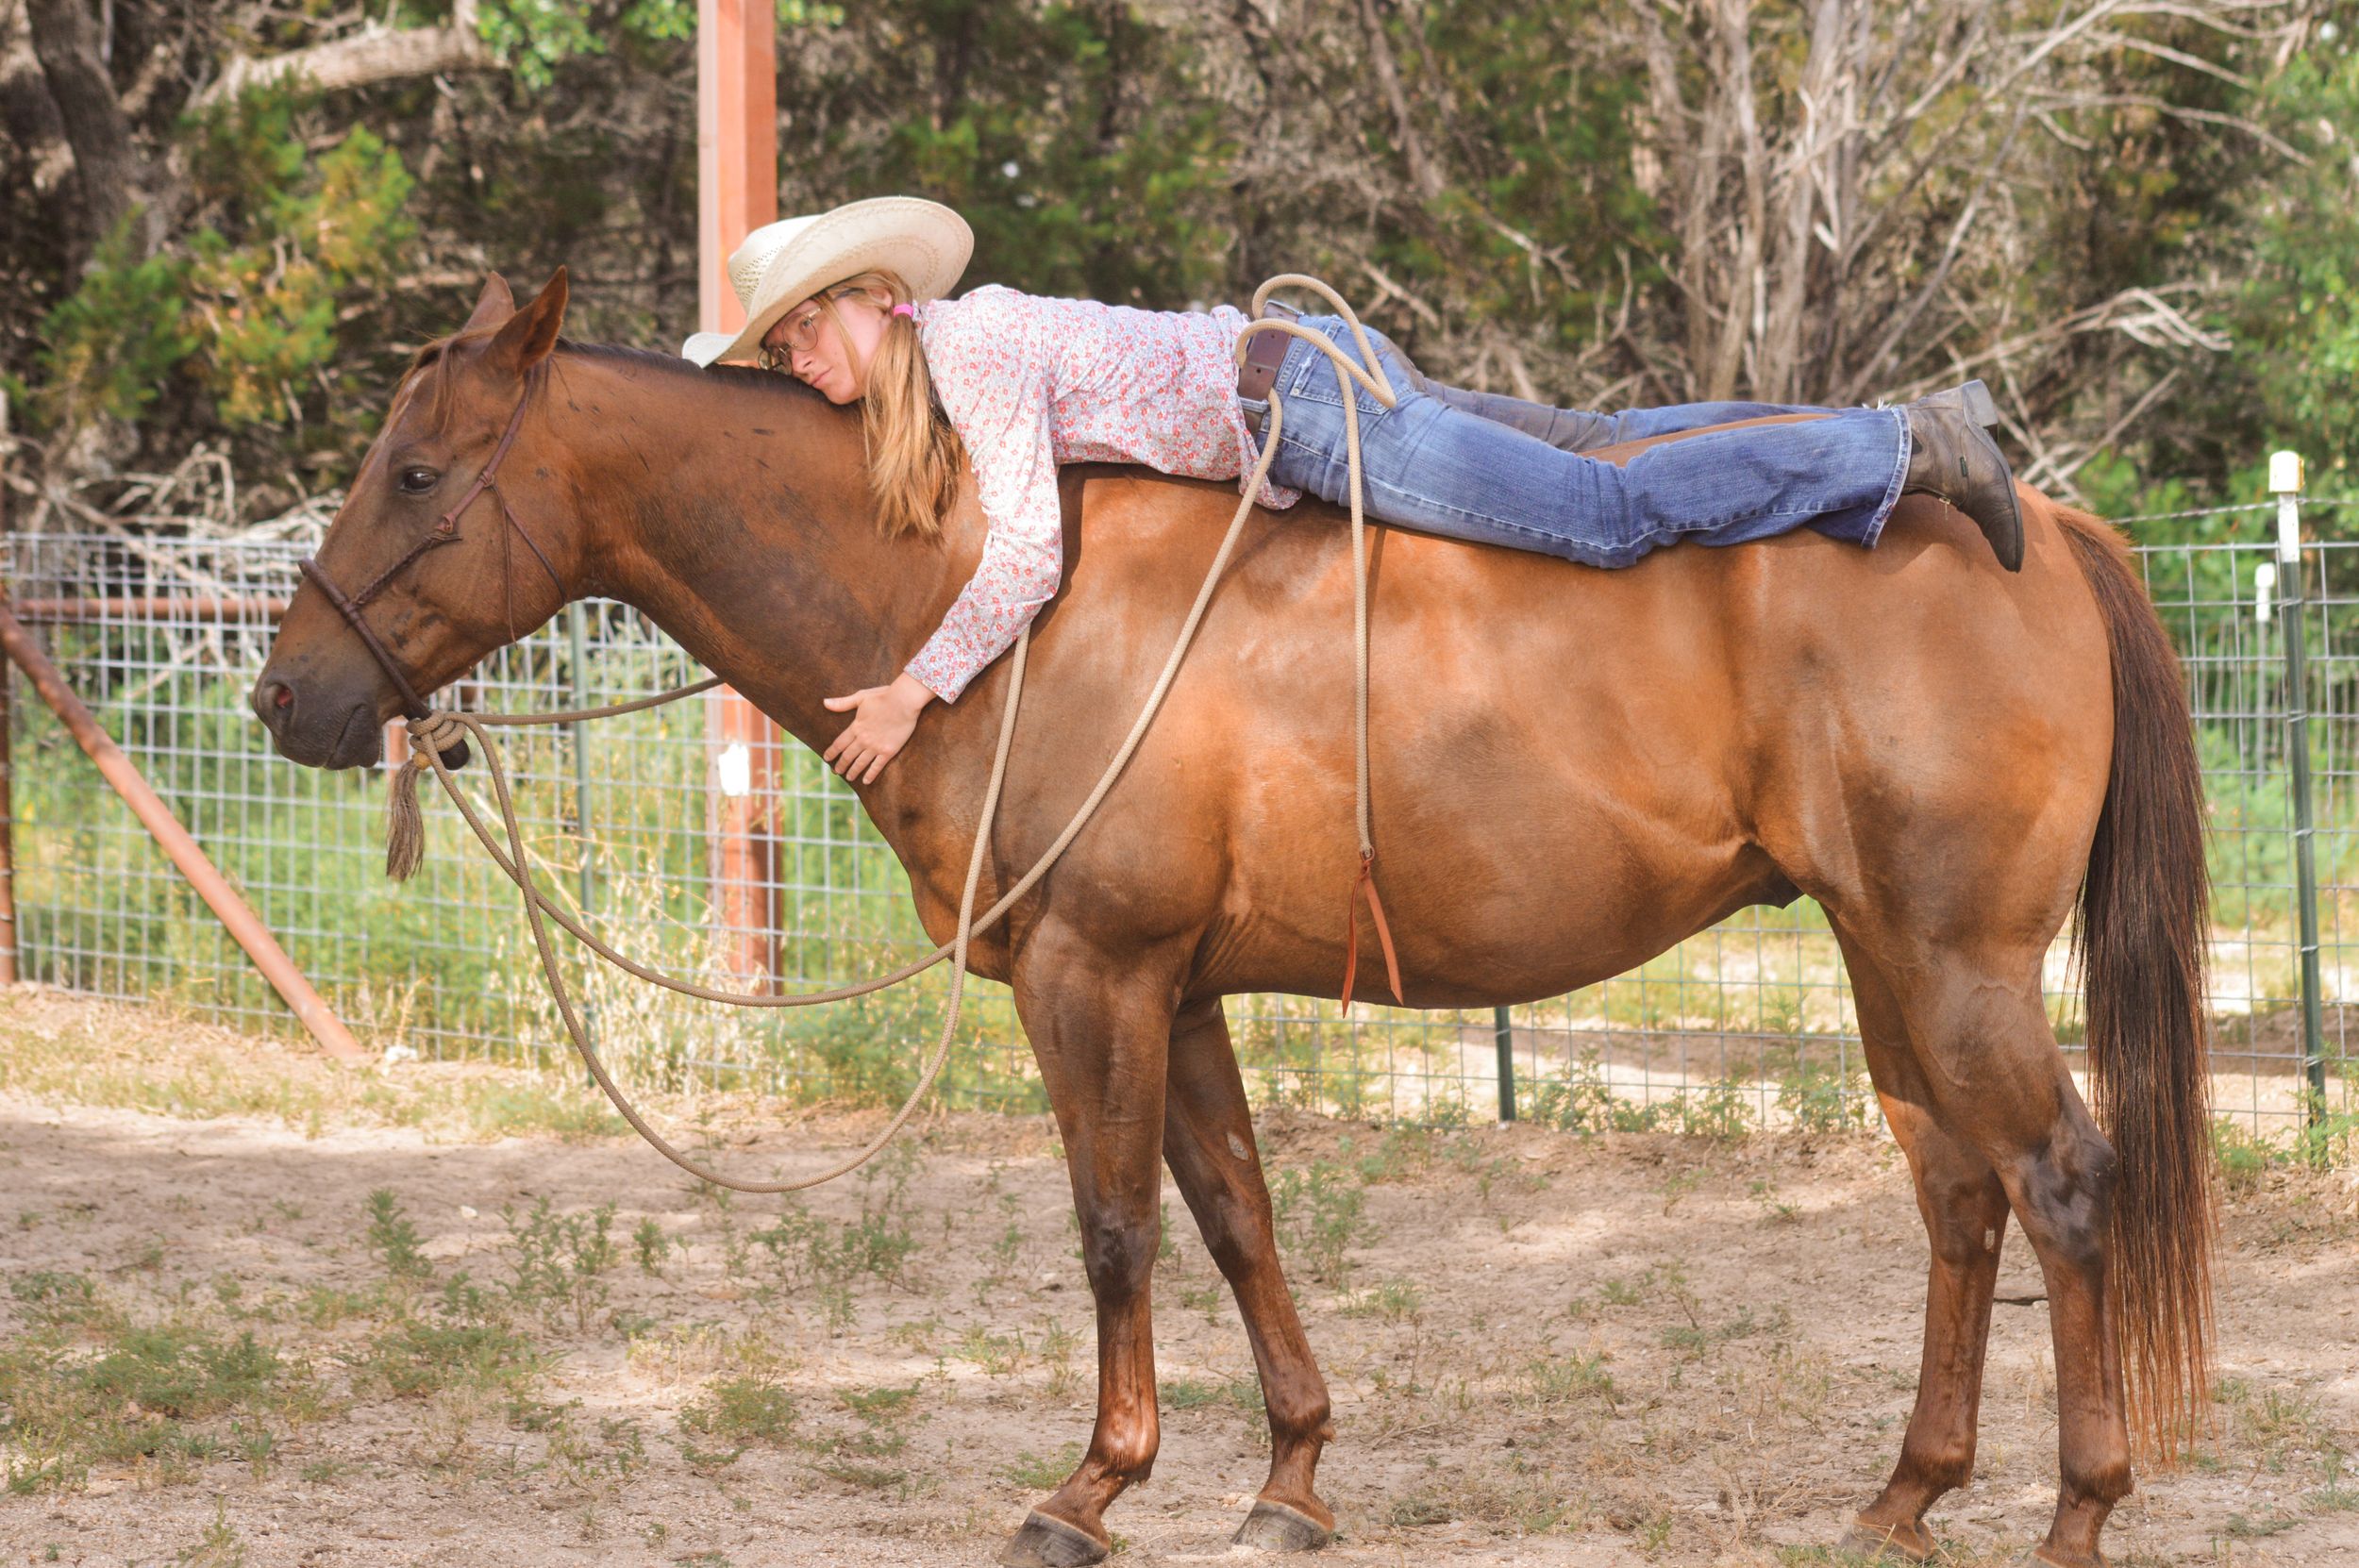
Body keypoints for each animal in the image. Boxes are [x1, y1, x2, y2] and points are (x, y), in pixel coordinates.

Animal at [253, 268, 2213, 1568]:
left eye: (416, 474)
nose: (289, 700)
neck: (983, 601)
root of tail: (2041, 529)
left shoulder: (1090, 977)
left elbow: (1116, 1229)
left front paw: (1088, 1488)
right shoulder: (1177, 991)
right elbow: (1237, 1216)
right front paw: (1290, 1475)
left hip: (1956, 968)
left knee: (2065, 1187)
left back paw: (2074, 1512)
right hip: (1886, 964)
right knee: (1960, 1199)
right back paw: (1903, 1495)